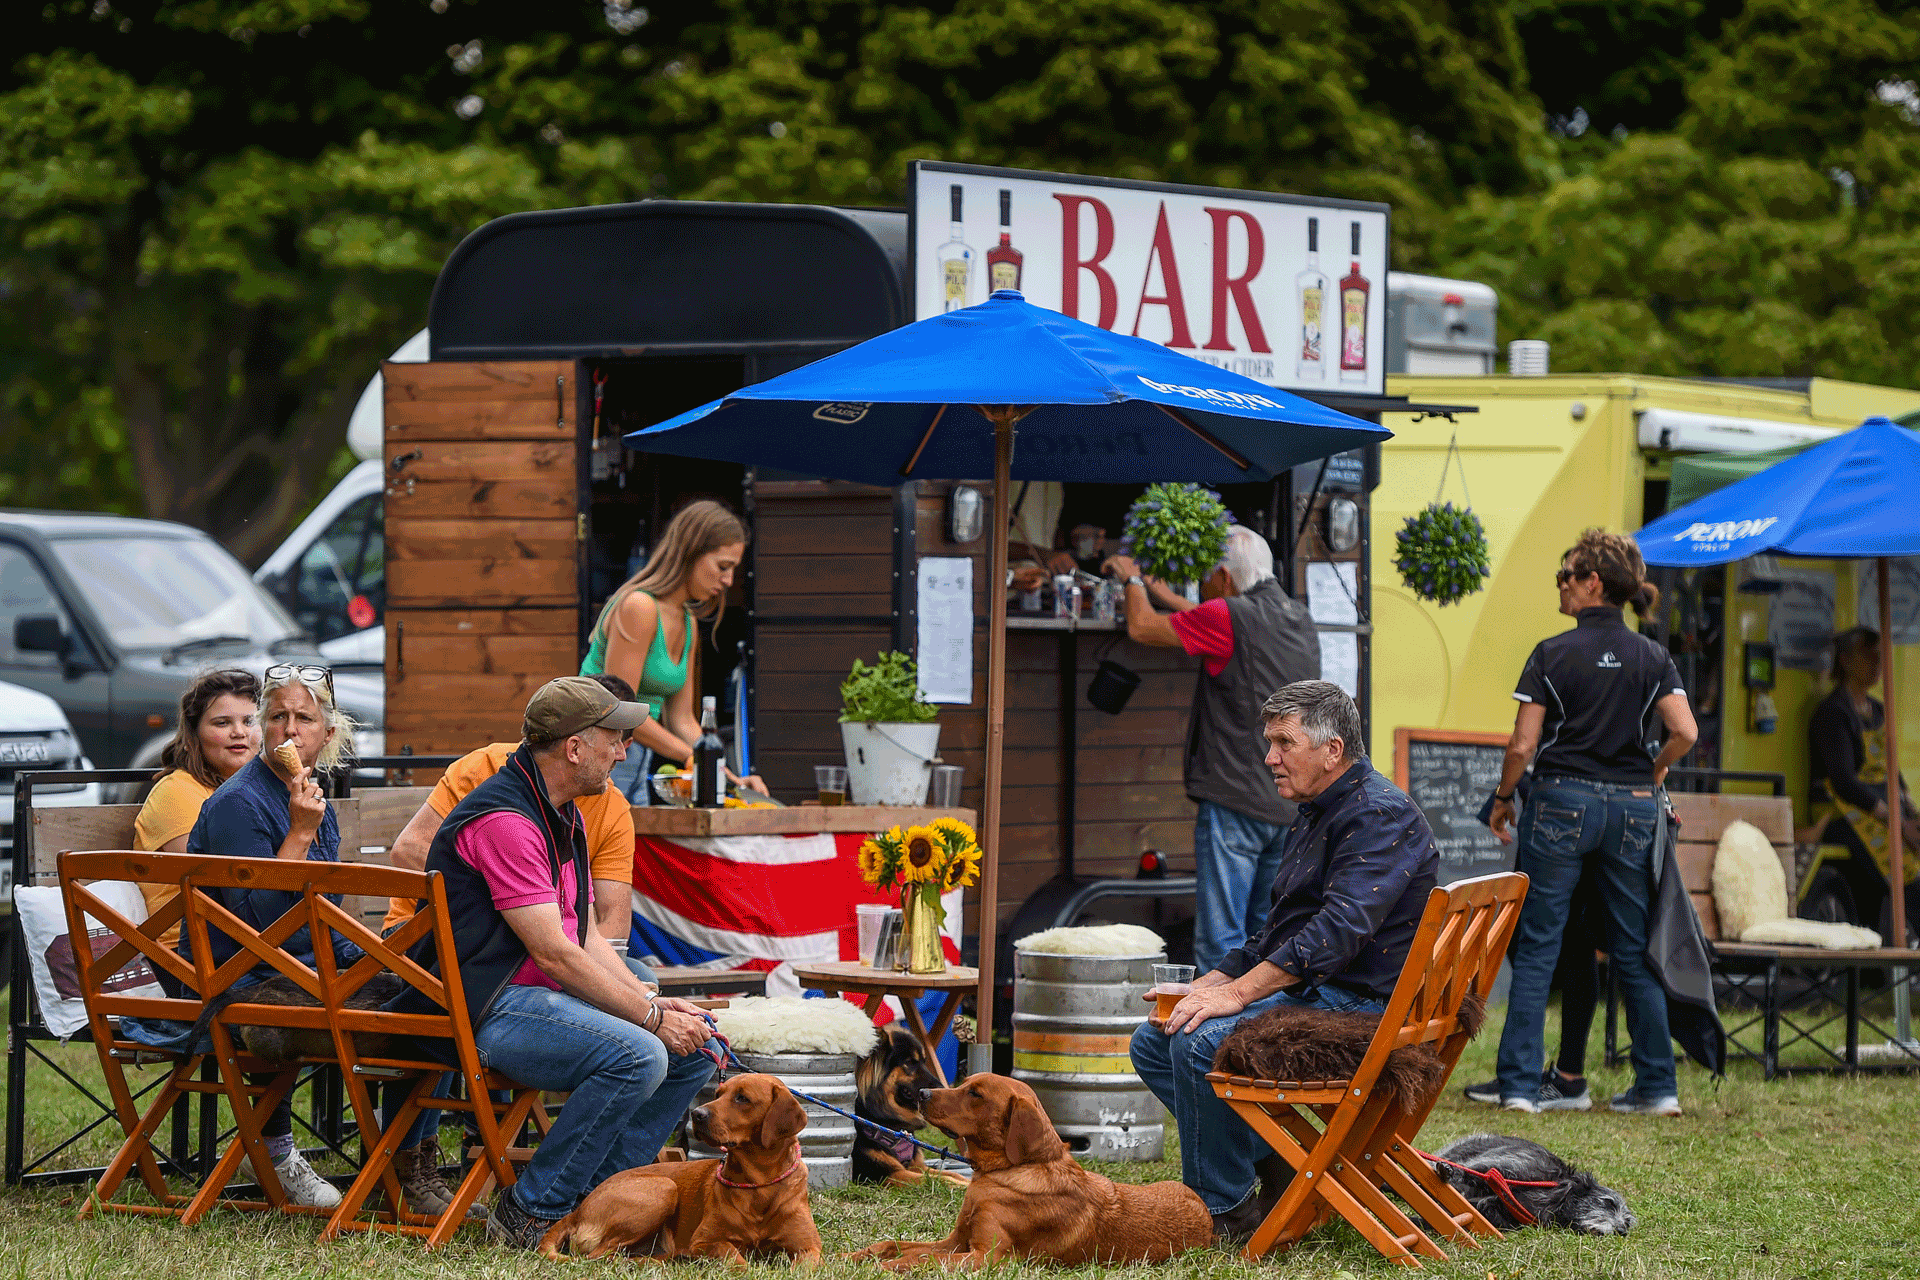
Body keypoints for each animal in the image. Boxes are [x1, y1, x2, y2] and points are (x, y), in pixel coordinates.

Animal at [856, 1020, 967, 1189]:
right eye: (909, 1063)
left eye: (924, 1062)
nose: (942, 1089)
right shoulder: (887, 1175)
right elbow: (938, 1179)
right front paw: (962, 1186)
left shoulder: (918, 1166)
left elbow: (950, 1174)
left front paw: (967, 1181)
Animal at [1428, 1136, 1635, 1235]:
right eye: (1608, 1203)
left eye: (1627, 1222)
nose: (1622, 1232)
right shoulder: (1497, 1168)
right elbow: (1469, 1172)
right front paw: (1448, 1172)